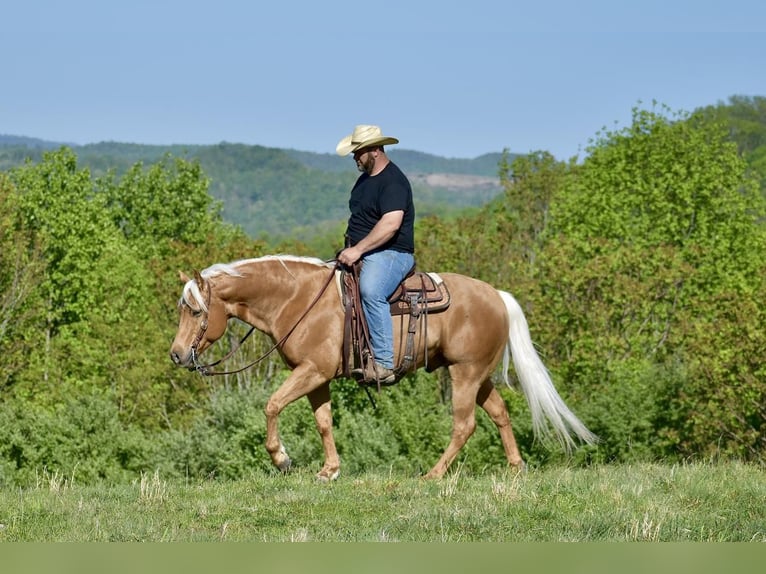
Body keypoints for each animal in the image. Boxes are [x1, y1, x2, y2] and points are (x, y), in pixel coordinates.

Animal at [171, 256, 596, 482]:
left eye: (194, 310)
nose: (176, 355)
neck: (298, 300)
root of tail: (497, 295)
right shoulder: (316, 377)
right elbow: (324, 422)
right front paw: (330, 470)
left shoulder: (312, 371)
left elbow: (272, 404)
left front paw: (282, 459)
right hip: (479, 376)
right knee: (500, 414)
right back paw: (515, 467)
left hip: (465, 374)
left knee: (465, 425)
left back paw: (433, 475)